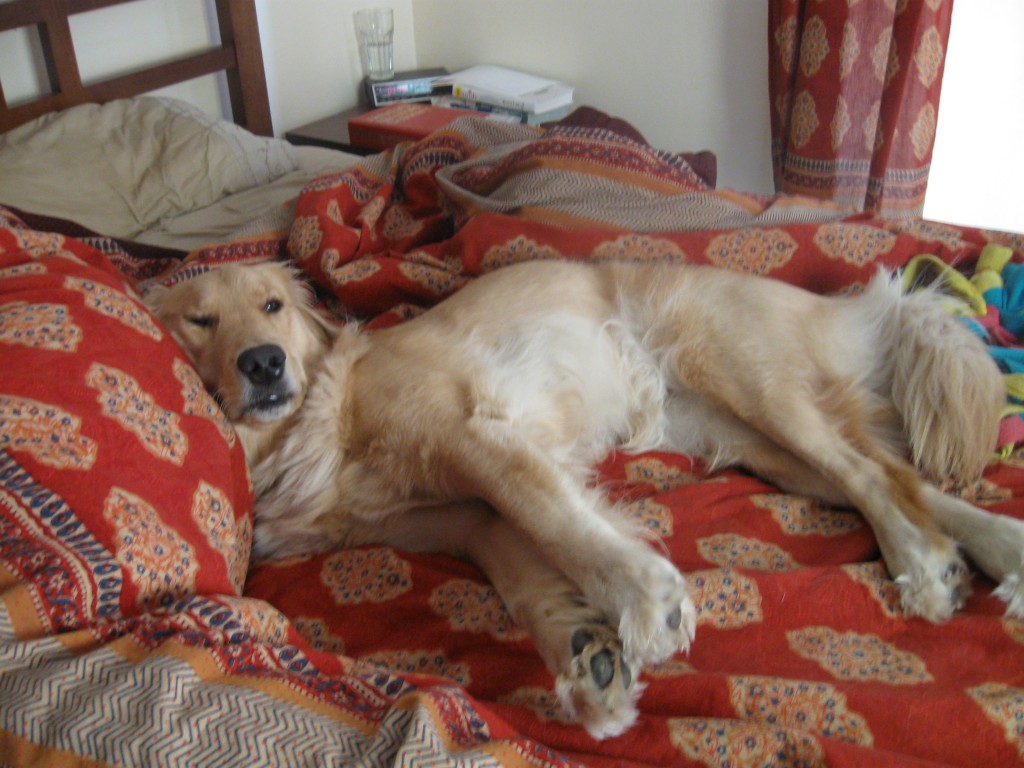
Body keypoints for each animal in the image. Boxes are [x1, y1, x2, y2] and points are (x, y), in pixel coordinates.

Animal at [146, 260, 1024, 741]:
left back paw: (922, 567)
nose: (263, 363)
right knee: (892, 480)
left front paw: (643, 601)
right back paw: (985, 553)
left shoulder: (470, 432)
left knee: (878, 477)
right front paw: (586, 660)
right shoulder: (460, 519)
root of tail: (837, 302)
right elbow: (521, 569)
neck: (323, 416)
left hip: (755, 385)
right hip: (756, 443)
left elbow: (551, 519)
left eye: (272, 307)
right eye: (200, 321)